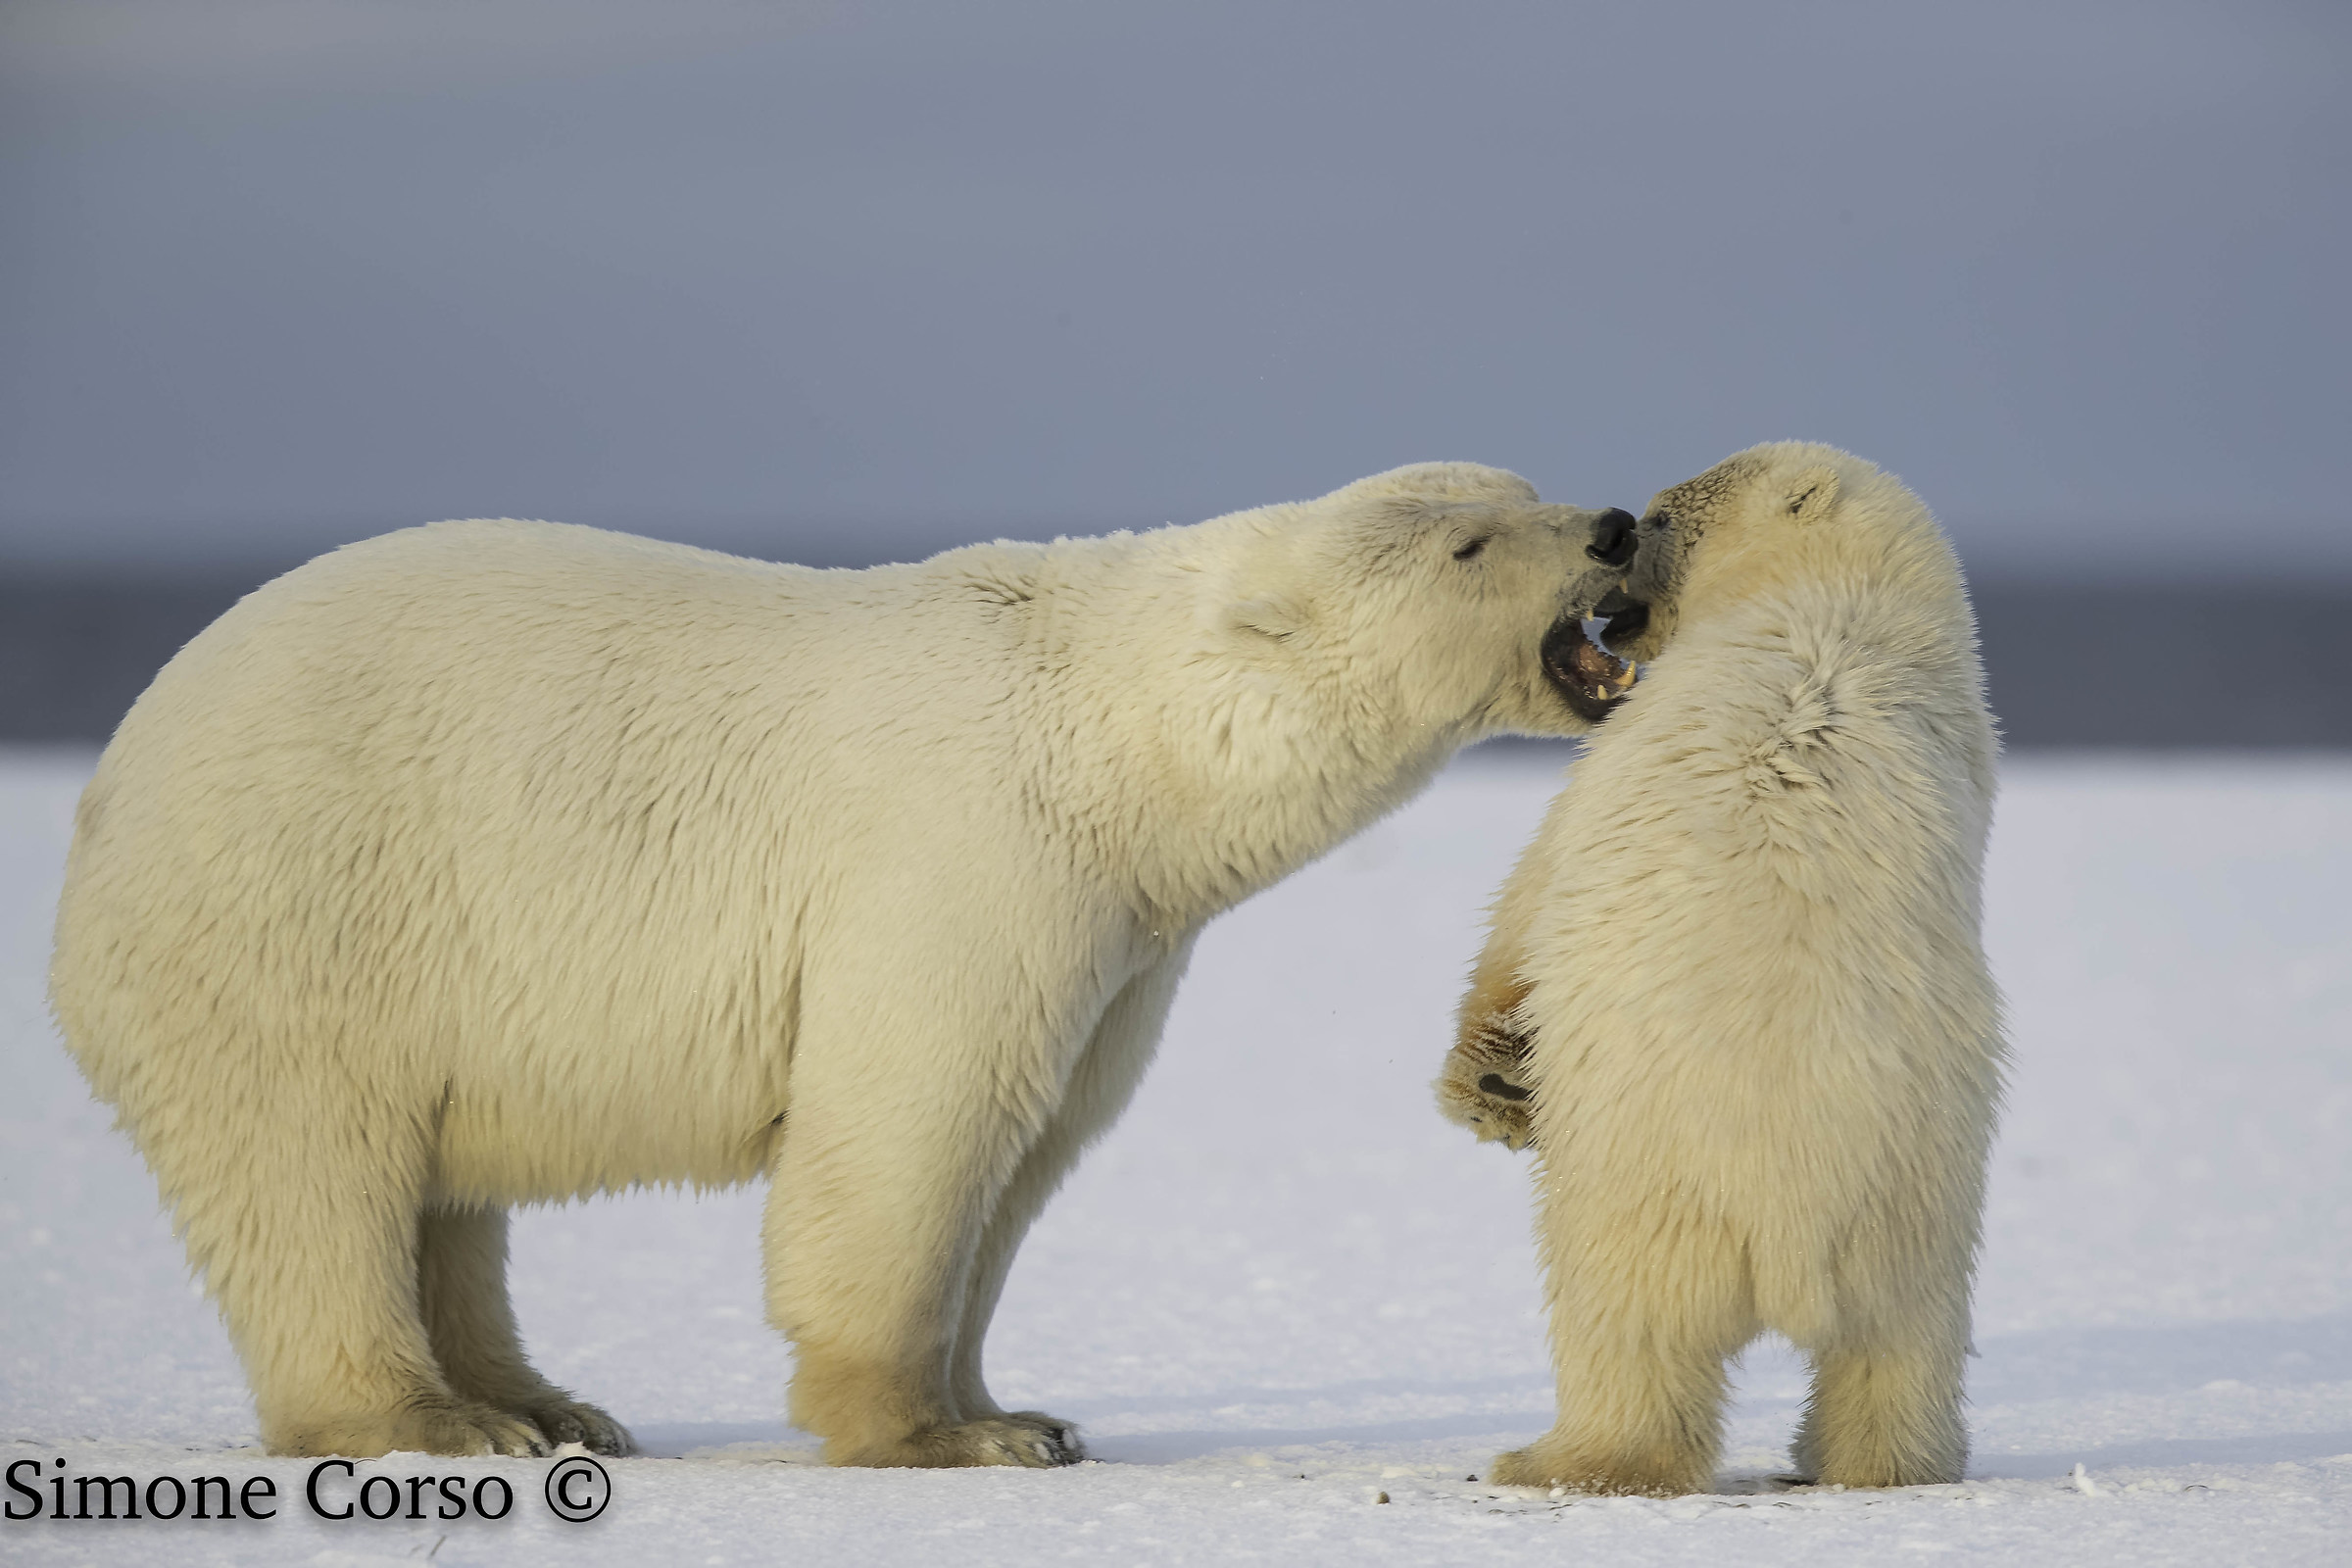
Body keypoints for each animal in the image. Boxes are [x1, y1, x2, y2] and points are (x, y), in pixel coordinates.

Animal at [50, 462, 1649, 1467]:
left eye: (1520, 485)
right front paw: (944, 1435)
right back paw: (433, 1421)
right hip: (298, 908)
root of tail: (108, 788)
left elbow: (1029, 1148)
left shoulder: (1120, 942)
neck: (1115, 742)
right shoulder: (966, 852)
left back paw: (552, 1405)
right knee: (311, 1169)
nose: (1618, 528)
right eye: (1468, 542)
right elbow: (913, 1125)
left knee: (443, 1196)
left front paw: (1026, 1408)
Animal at [1436, 443, 2005, 1496]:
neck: (1837, 599)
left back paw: (1558, 1458)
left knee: (1627, 1329)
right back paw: (1881, 1465)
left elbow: (1531, 902)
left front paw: (1488, 1083)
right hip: (1919, 1204)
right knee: (1900, 1342)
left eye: (1661, 515)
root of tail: (1789, 1209)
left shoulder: (1627, 740)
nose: (1618, 533)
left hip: (1643, 1184)